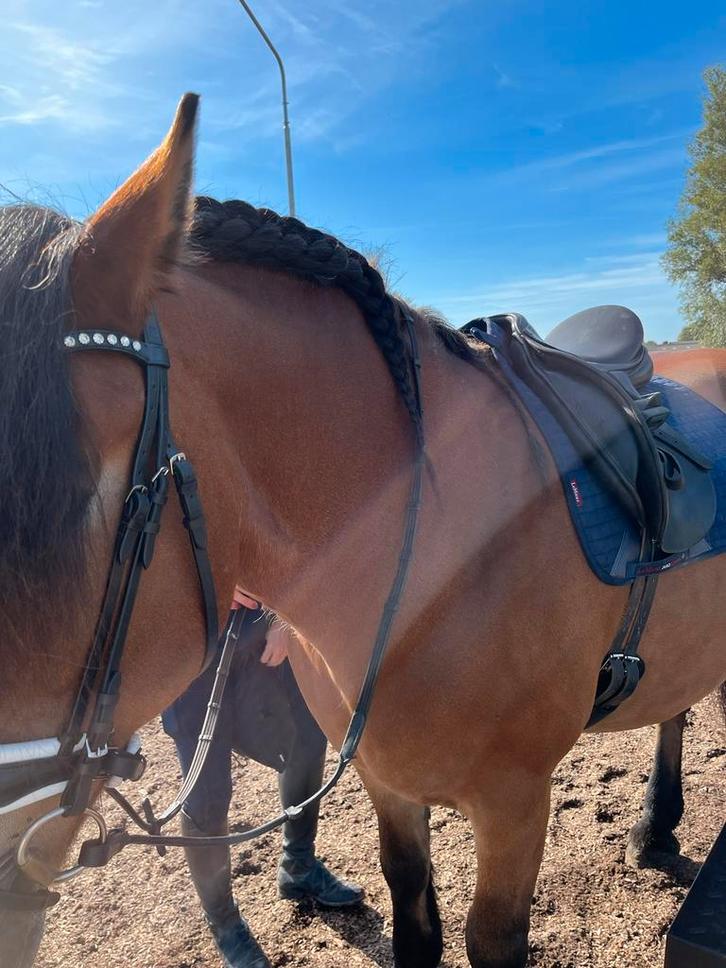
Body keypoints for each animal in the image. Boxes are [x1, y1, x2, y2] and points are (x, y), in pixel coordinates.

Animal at [0, 95, 724, 968]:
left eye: (76, 506)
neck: (429, 555)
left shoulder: (516, 804)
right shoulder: (389, 786)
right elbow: (415, 920)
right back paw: (655, 828)